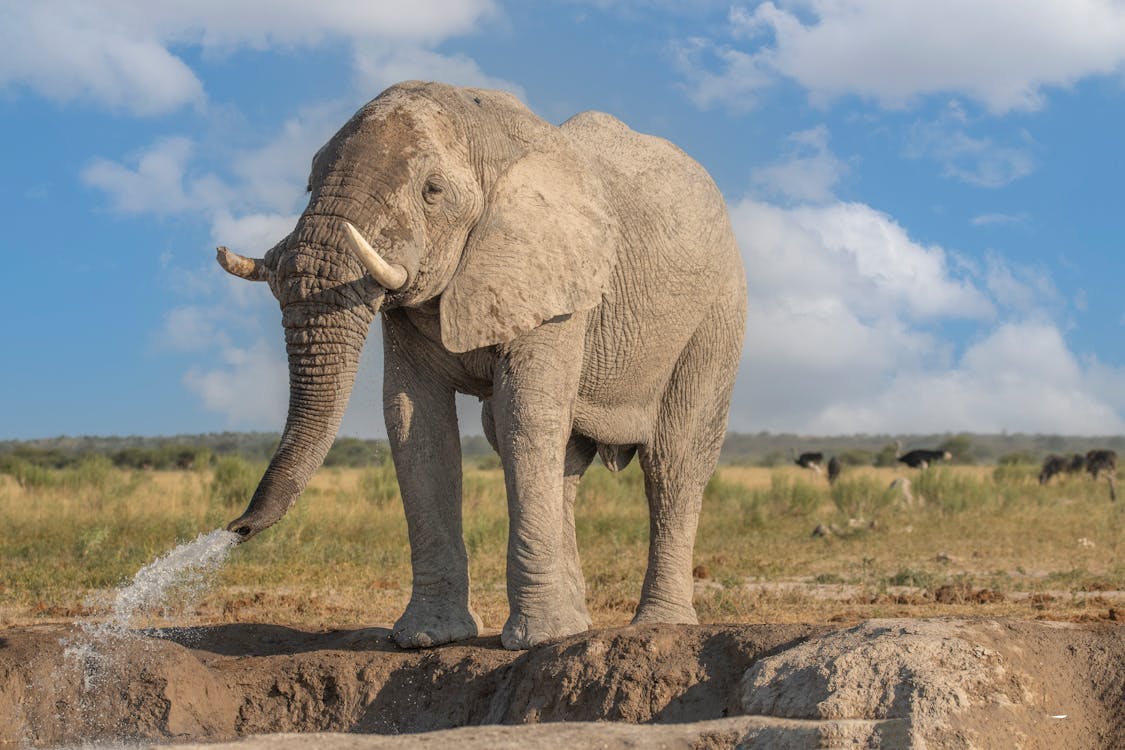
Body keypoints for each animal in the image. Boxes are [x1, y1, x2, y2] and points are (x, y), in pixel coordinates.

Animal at [217, 79, 747, 647]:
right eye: (310, 181)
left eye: (432, 191)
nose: (235, 529)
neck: (481, 132)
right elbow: (413, 422)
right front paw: (427, 639)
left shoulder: (552, 279)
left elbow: (525, 414)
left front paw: (533, 641)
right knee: (563, 460)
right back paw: (576, 623)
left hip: (717, 314)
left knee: (674, 460)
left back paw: (657, 623)